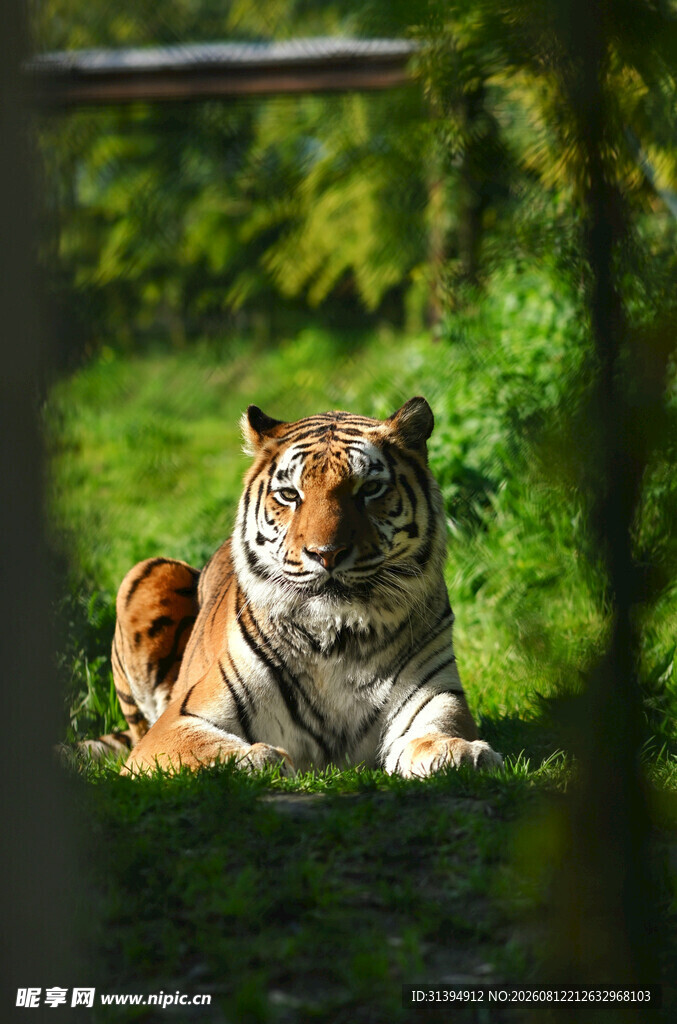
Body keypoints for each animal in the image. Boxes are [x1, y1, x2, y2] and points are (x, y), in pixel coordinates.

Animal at [85, 397, 503, 778]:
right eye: (290, 494)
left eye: (369, 488)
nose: (326, 554)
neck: (338, 638)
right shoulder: (175, 723)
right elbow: (210, 748)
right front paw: (264, 759)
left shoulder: (436, 696)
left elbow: (440, 732)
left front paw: (462, 752)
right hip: (148, 572)